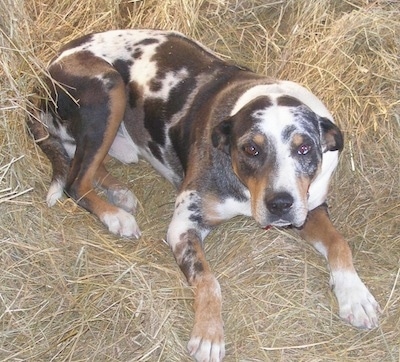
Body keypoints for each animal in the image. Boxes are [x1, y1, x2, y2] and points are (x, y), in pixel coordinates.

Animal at [27, 29, 378, 360]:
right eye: (250, 149)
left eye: (304, 148)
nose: (279, 204)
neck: (242, 187)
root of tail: (46, 69)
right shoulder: (185, 226)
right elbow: (209, 280)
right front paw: (209, 335)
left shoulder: (309, 207)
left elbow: (339, 242)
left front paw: (355, 296)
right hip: (108, 88)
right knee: (75, 180)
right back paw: (117, 217)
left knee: (84, 163)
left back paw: (119, 192)